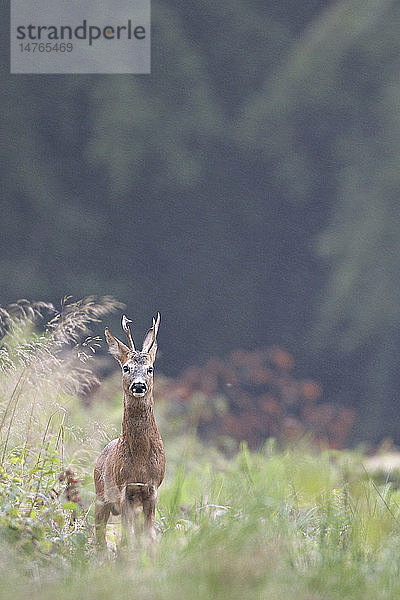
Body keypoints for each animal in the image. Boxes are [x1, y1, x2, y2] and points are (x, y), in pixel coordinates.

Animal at [94, 316, 165, 548]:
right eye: (126, 368)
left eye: (150, 368)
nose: (139, 386)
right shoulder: (124, 491)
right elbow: (129, 539)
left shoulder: (151, 489)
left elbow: (149, 537)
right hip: (101, 497)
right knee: (99, 535)